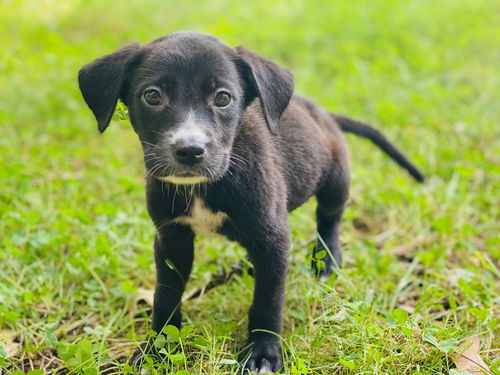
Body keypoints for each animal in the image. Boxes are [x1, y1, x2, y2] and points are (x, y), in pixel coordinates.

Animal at [78, 31, 422, 374]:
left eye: (223, 98)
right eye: (152, 96)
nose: (190, 151)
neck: (204, 186)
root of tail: (321, 112)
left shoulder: (273, 238)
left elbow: (268, 300)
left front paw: (263, 352)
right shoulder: (171, 238)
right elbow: (166, 296)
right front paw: (157, 349)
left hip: (335, 180)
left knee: (329, 218)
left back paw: (326, 258)